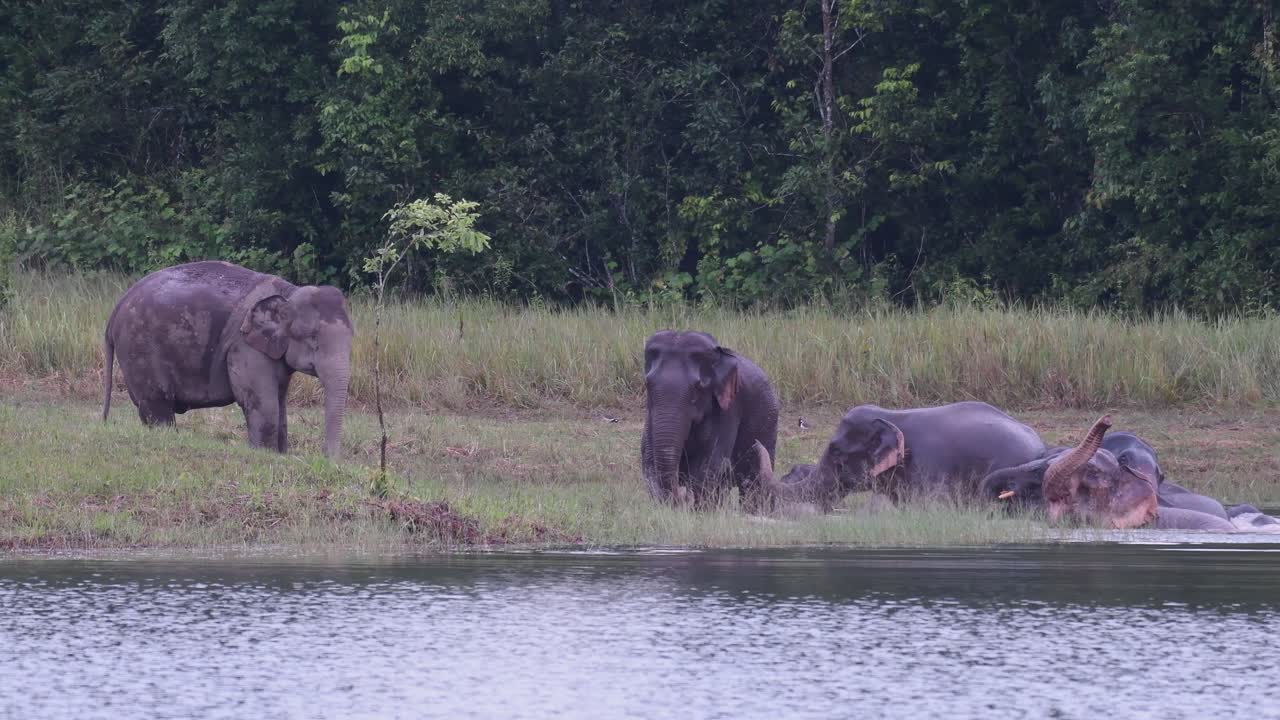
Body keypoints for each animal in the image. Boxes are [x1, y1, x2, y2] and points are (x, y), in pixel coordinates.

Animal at [102, 260, 354, 459]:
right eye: (313, 339)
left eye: (352, 338)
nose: (327, 459)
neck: (289, 292)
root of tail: (117, 307)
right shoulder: (244, 346)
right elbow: (264, 403)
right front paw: (265, 454)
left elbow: (280, 403)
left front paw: (281, 454)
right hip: (140, 348)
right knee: (157, 404)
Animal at [640, 330, 779, 510]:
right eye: (648, 384)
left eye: (697, 388)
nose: (682, 497)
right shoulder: (650, 413)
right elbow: (648, 458)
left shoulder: (730, 406)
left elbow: (710, 462)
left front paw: (699, 511)